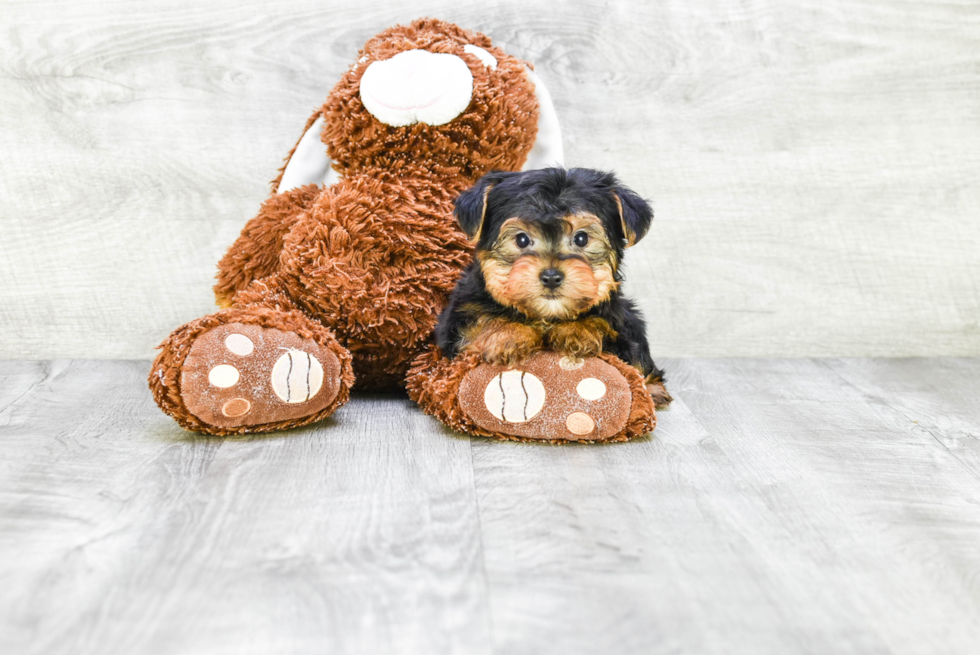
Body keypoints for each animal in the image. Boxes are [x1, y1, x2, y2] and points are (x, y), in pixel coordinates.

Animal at [438, 167, 672, 408]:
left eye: (581, 238)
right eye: (521, 240)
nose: (551, 277)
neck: (546, 316)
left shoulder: (619, 322)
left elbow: (606, 323)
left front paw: (579, 330)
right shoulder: (458, 318)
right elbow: (479, 319)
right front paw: (508, 334)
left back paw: (653, 391)